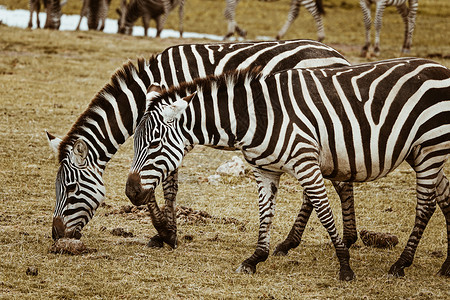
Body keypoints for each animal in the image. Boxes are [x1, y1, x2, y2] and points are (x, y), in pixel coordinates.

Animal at [46, 39, 356, 251]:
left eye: (70, 189)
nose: (56, 235)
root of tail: (338, 56)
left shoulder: (176, 132)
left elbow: (165, 185)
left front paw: (166, 233)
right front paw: (165, 231)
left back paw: (309, 241)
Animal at [127, 57, 450, 280]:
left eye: (154, 144)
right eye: (135, 143)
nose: (131, 192)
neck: (254, 116)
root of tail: (442, 69)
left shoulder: (305, 162)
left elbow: (323, 211)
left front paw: (345, 266)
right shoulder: (264, 170)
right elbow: (265, 213)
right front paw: (256, 258)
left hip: (430, 149)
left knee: (426, 205)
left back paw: (400, 264)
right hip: (423, 151)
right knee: (444, 198)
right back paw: (446, 266)